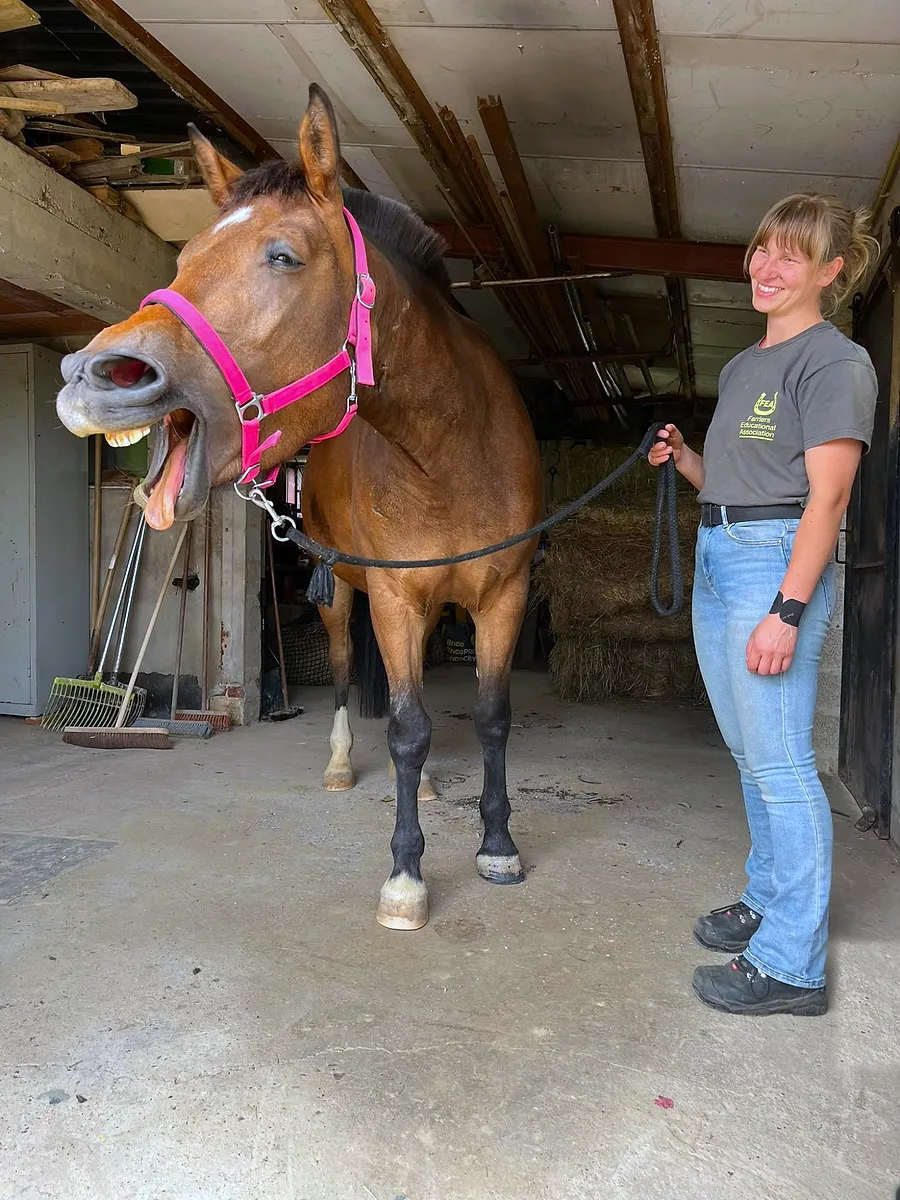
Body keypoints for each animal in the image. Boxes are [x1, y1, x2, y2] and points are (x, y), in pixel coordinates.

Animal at [56, 84, 543, 932]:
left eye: (283, 256)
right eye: (183, 258)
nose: (92, 377)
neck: (454, 453)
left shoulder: (502, 595)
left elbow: (489, 716)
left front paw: (497, 844)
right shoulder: (394, 596)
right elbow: (408, 728)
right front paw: (405, 877)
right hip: (346, 595)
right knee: (348, 672)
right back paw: (344, 764)